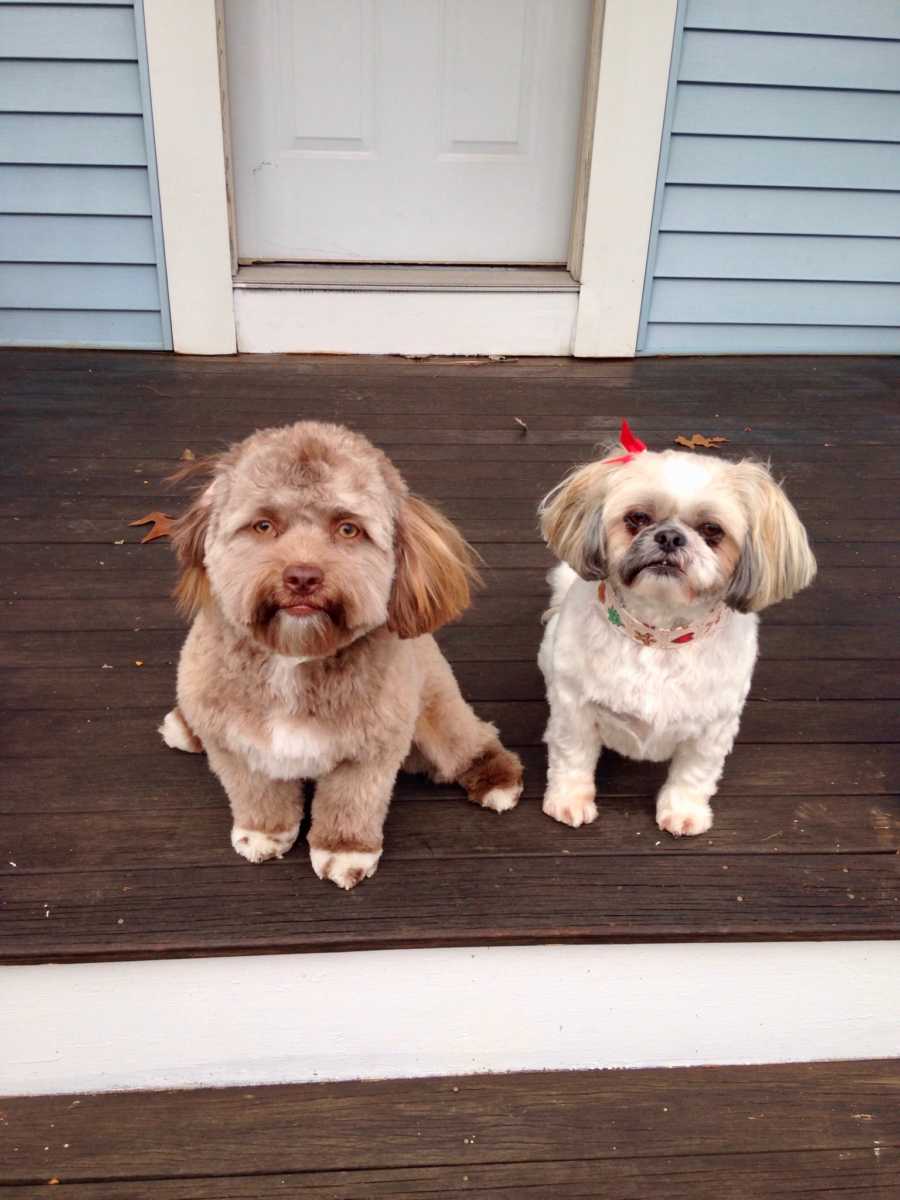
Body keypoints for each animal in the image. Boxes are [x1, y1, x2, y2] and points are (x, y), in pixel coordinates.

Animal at [160, 420, 520, 883]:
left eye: (348, 529)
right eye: (263, 525)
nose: (302, 577)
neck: (292, 658)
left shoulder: (370, 750)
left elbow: (351, 802)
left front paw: (345, 852)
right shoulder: (235, 745)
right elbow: (257, 792)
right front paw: (263, 833)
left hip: (437, 712)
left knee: (473, 741)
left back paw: (497, 780)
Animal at [540, 427, 820, 840]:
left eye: (712, 530)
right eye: (638, 518)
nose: (670, 537)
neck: (660, 637)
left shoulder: (713, 728)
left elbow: (694, 773)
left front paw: (684, 812)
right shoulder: (574, 709)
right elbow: (572, 757)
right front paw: (569, 801)